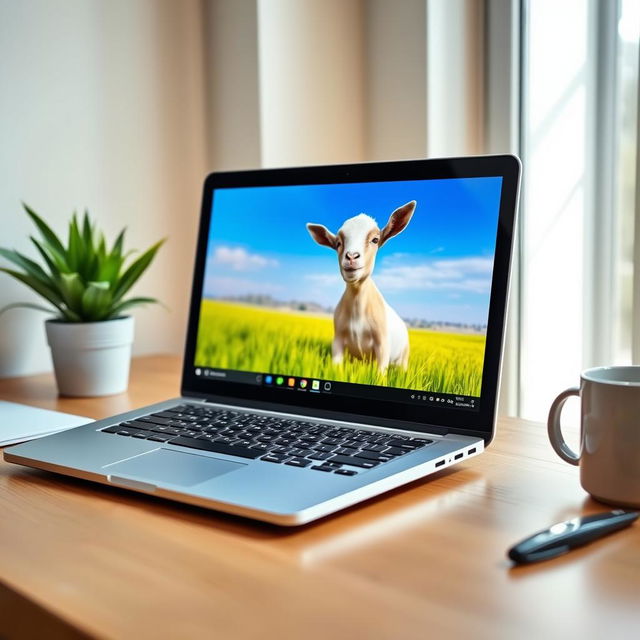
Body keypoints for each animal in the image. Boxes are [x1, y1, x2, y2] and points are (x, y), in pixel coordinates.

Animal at [308, 199, 418, 370]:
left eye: (375, 240)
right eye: (338, 243)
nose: (351, 256)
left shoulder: (383, 346)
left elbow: (380, 373)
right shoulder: (338, 341)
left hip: (403, 358)